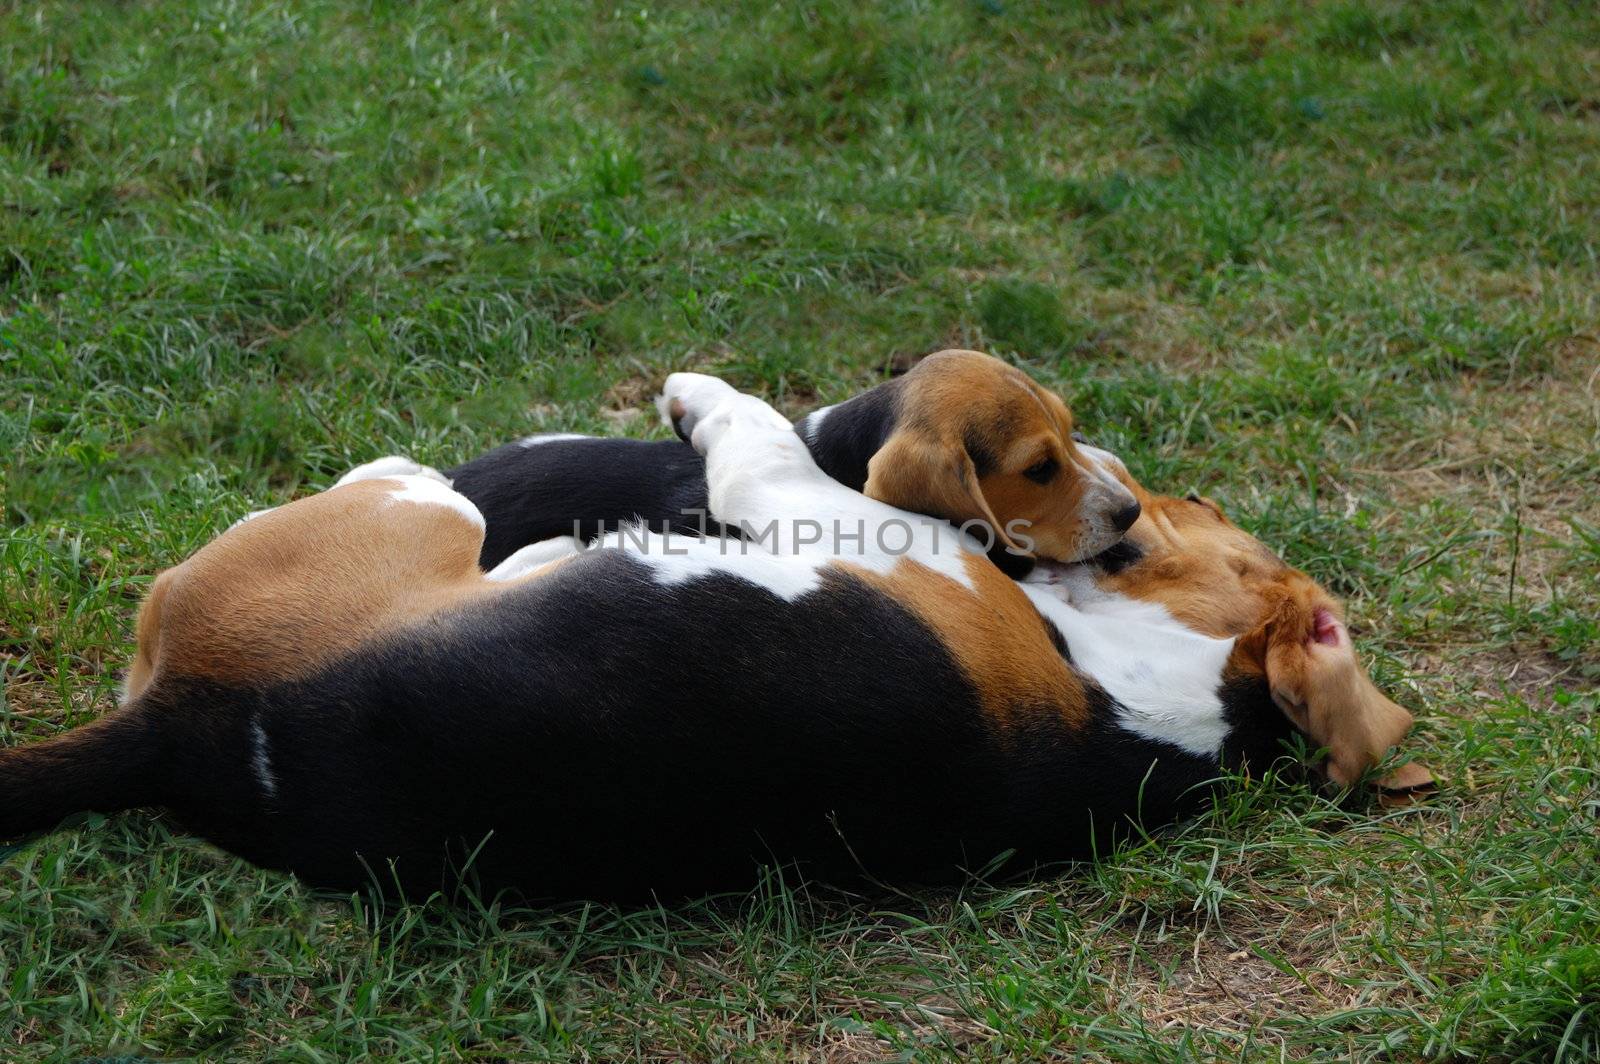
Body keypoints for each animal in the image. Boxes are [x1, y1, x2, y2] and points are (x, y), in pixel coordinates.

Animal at [0, 355, 1427, 896]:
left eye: (1196, 512)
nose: (1135, 485)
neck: (1146, 696)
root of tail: (182, 721)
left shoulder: (830, 518)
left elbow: (761, 444)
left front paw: (701, 396)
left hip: (411, 503)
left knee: (419, 490)